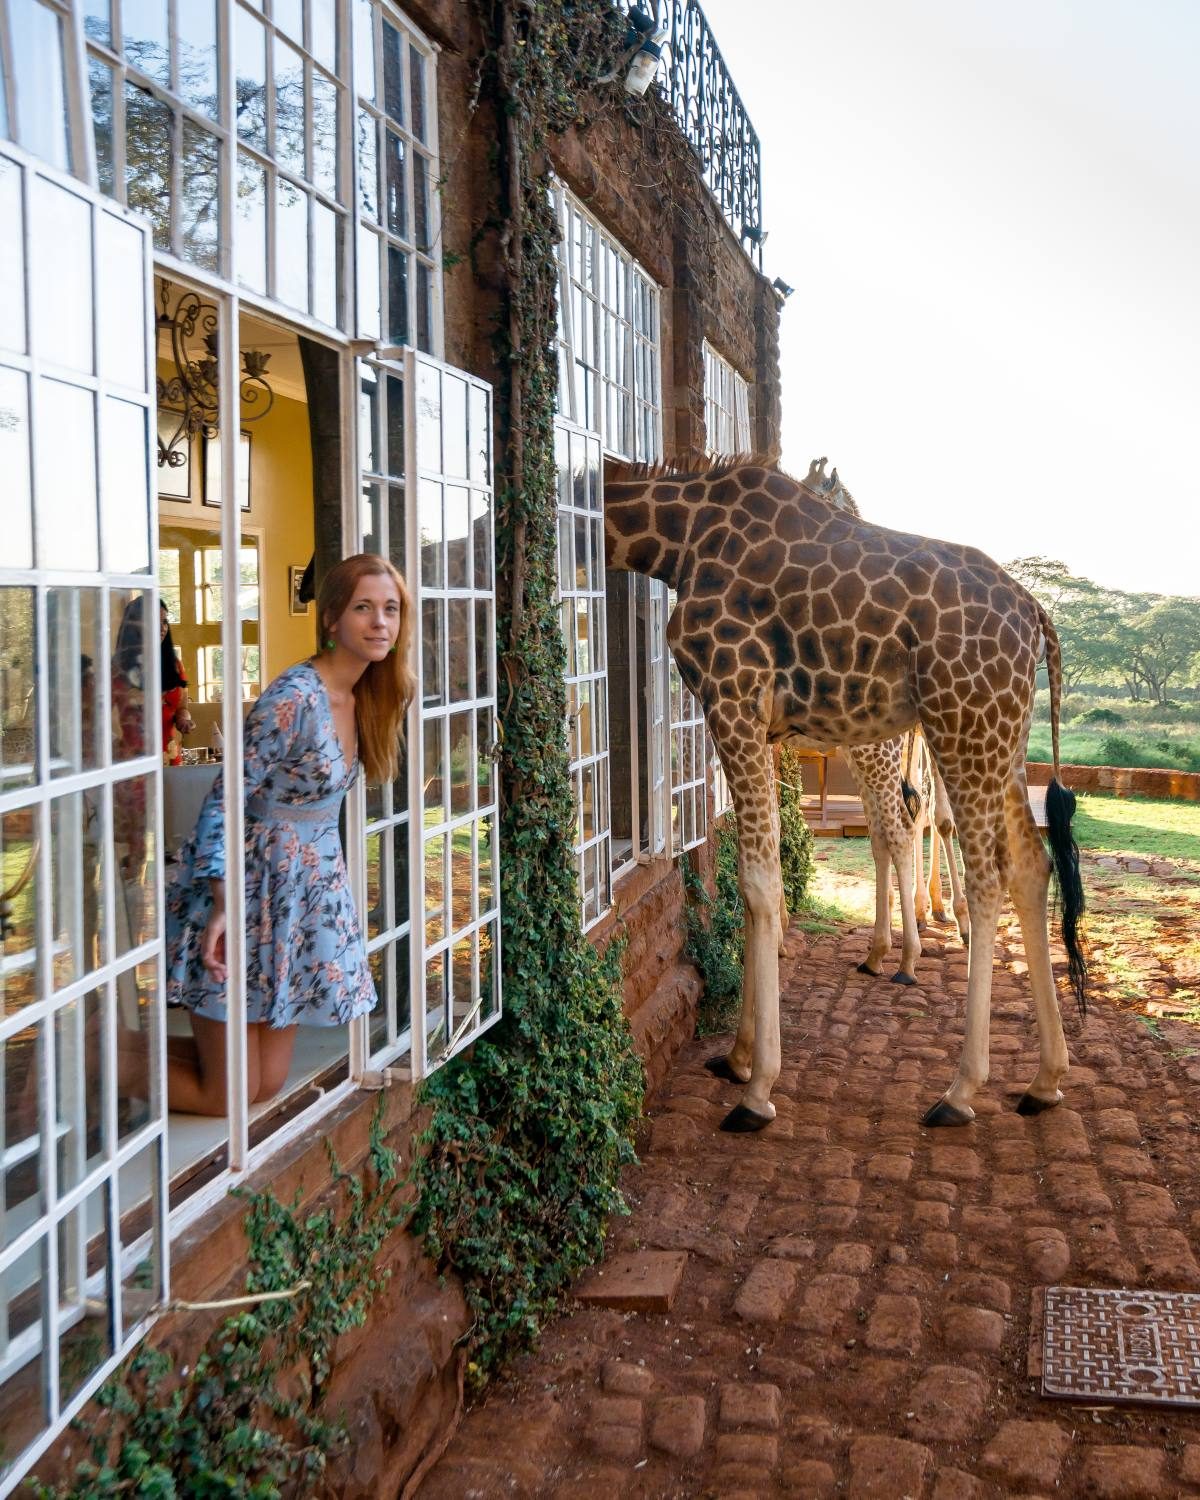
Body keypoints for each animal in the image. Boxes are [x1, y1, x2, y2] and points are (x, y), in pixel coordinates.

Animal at [606, 450, 1080, 1128]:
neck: (674, 540)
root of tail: (1038, 616)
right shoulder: (762, 725)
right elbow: (766, 874)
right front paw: (740, 1058)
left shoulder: (732, 699)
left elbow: (757, 882)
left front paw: (757, 1090)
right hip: (1000, 736)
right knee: (1028, 863)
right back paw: (1044, 1080)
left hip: (960, 722)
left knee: (982, 868)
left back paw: (959, 1090)